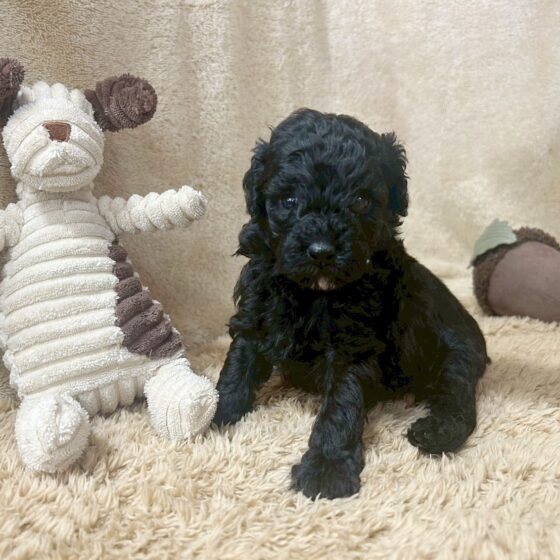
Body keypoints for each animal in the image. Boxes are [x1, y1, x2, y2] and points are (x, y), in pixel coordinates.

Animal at [213, 108, 488, 499]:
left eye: (360, 201)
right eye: (289, 201)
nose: (321, 251)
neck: (315, 293)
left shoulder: (352, 344)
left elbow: (340, 405)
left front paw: (326, 470)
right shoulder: (256, 314)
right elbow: (236, 368)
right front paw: (207, 415)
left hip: (455, 353)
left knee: (457, 396)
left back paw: (435, 432)